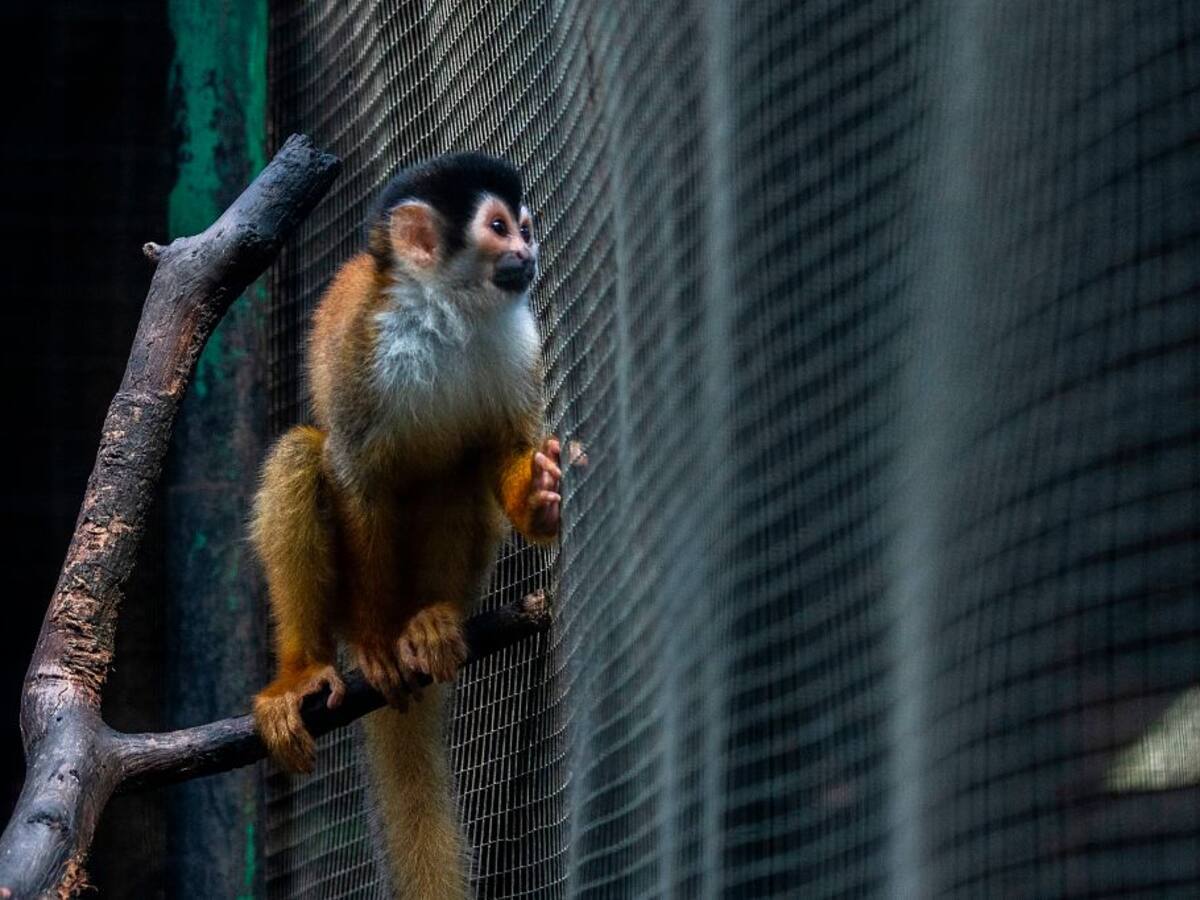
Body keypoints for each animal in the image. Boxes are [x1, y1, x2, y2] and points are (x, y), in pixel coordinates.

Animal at [250, 153, 564, 900]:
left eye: (524, 226)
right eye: (499, 228)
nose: (529, 252)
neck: (451, 312)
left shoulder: (520, 340)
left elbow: (500, 447)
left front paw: (541, 499)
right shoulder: (368, 343)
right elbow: (358, 476)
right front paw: (373, 643)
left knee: (458, 470)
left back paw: (431, 620)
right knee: (303, 453)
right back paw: (312, 666)